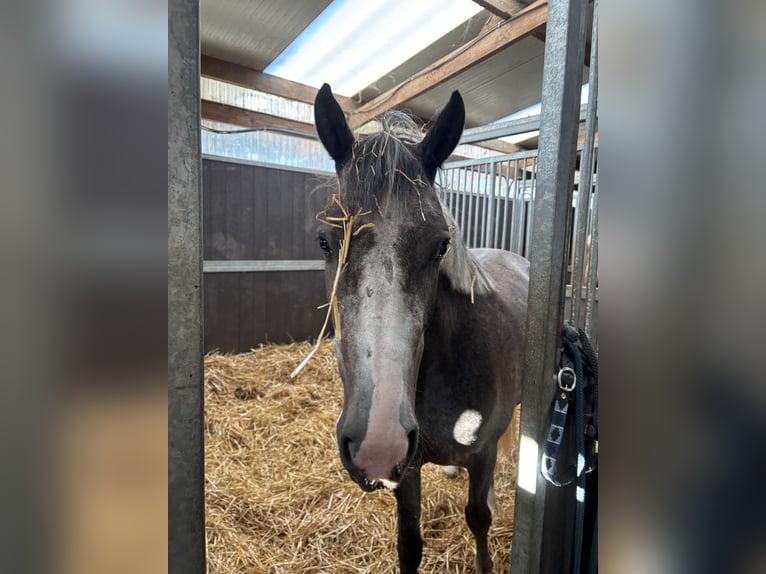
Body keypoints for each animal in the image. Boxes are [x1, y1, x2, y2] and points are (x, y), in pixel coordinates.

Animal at [312, 83, 529, 573]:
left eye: (442, 245)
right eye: (325, 241)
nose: (377, 443)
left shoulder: (484, 453)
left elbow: (479, 518)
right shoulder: (407, 469)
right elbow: (409, 543)